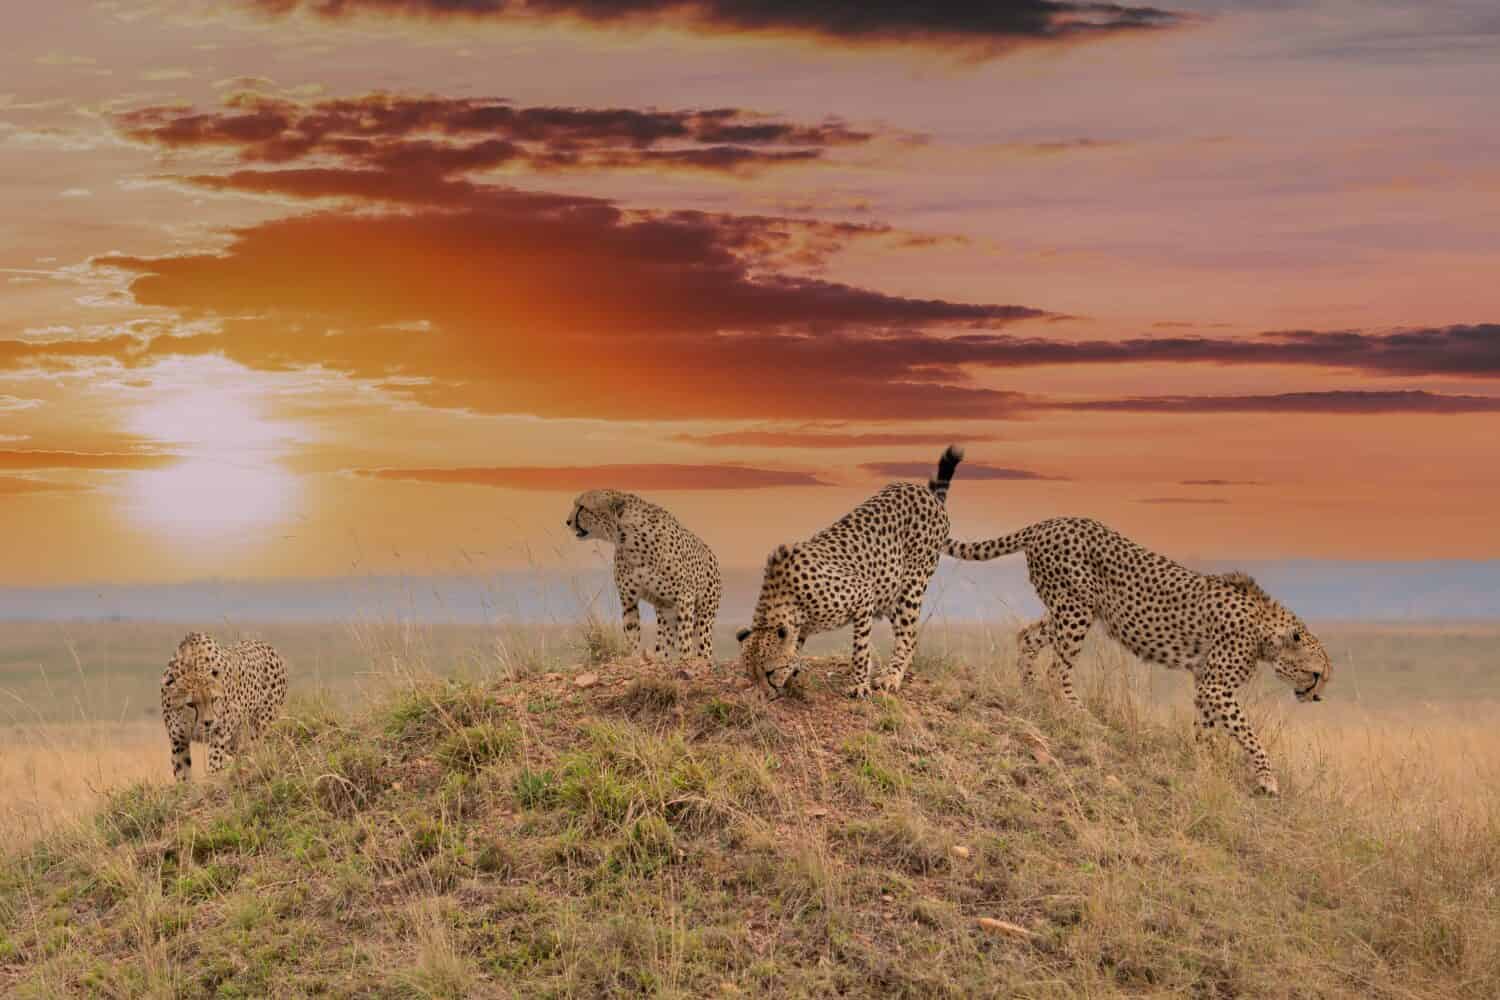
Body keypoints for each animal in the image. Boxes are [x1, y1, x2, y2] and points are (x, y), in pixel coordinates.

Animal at [160, 632, 286, 779]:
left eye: (214, 699)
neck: (193, 665)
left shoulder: (220, 733)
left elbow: (215, 760)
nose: (208, 722)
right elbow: (182, 771)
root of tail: (267, 646)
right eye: (190, 704)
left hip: (260, 728)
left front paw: (213, 779)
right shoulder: (178, 740)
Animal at [564, 491, 723, 665]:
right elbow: (631, 632)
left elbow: (684, 637)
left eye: (582, 507)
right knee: (664, 642)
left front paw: (685, 659)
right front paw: (633, 656)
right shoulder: (628, 599)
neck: (628, 539)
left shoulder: (684, 597)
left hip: (703, 618)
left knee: (703, 647)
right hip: (665, 613)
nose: (567, 521)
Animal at [735, 449, 960, 701]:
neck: (785, 596)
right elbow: (796, 649)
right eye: (751, 674)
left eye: (770, 672)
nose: (765, 695)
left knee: (908, 636)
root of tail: (925, 492)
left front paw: (859, 685)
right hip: (889, 591)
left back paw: (892, 677)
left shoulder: (863, 595)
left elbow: (860, 649)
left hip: (910, 586)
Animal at [948, 521, 1338, 791]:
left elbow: (1205, 727)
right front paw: (1266, 778)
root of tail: (1051, 522)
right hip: (1075, 611)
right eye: (1315, 674)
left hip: (1067, 609)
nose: (1317, 698)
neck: (1266, 632)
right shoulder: (1216, 686)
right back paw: (1077, 713)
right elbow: (1249, 733)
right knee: (1057, 669)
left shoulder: (1205, 684)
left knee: (1027, 638)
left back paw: (1030, 694)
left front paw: (1204, 761)